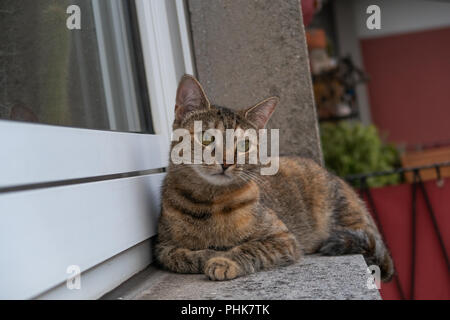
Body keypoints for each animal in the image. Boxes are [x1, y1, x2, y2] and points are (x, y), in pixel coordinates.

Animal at [155, 75, 394, 282]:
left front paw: (224, 260)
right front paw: (208, 254)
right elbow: (179, 256)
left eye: (245, 145)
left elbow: (251, 247)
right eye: (206, 138)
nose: (226, 162)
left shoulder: (283, 239)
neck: (209, 204)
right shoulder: (161, 247)